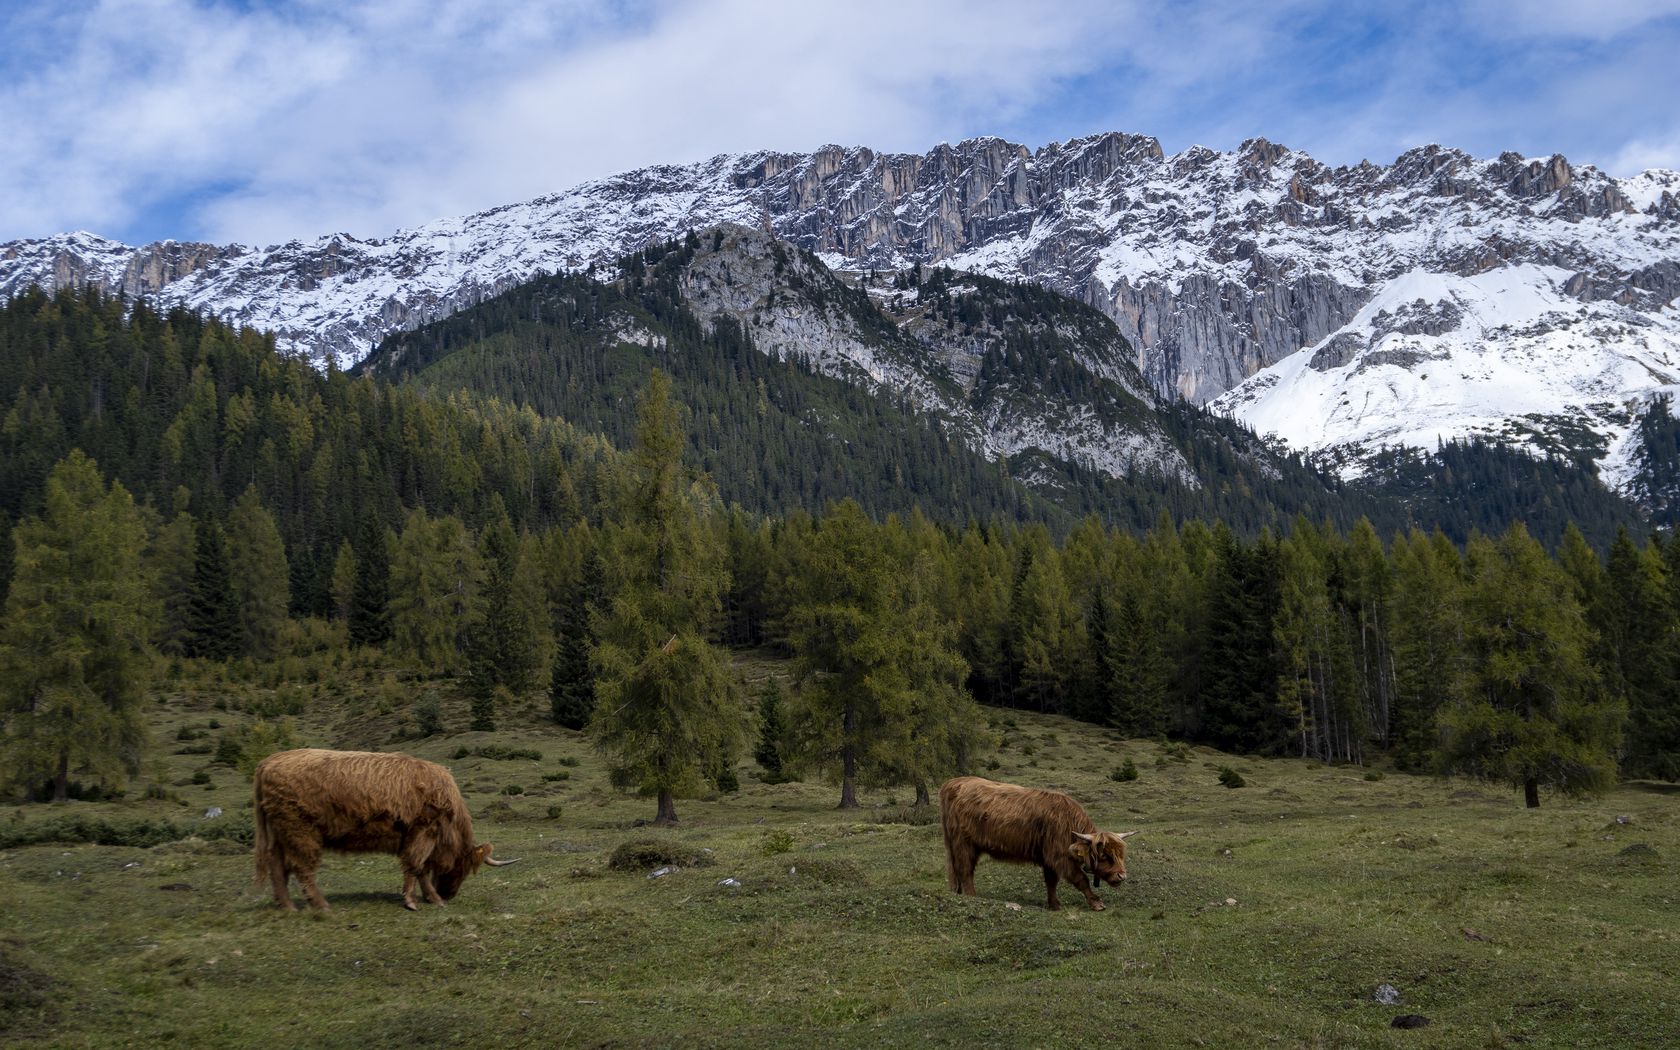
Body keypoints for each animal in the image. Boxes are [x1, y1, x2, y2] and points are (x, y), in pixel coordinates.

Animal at [253, 748, 517, 912]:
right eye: (462, 868)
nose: (448, 894)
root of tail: (268, 762)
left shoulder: (419, 836)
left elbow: (421, 868)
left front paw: (431, 898)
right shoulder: (423, 830)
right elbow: (415, 865)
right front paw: (414, 901)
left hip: (282, 833)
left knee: (277, 864)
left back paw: (288, 906)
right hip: (300, 830)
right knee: (302, 867)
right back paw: (321, 905)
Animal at [940, 775, 1136, 911]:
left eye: (1121, 854)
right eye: (1103, 855)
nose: (1122, 876)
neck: (1069, 823)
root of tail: (953, 783)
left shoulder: (1048, 857)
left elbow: (1051, 881)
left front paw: (1054, 905)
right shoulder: (1059, 856)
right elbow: (1081, 879)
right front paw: (1096, 903)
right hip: (964, 843)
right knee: (965, 870)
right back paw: (972, 897)